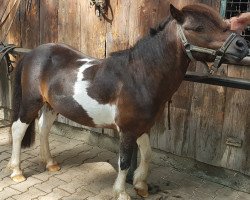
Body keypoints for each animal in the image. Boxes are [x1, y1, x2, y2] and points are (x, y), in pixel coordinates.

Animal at [7, 3, 248, 200]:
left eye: (223, 23)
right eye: (197, 28)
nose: (242, 45)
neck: (139, 76)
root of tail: (33, 54)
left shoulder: (143, 127)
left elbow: (148, 154)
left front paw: (141, 186)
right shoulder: (127, 130)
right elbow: (123, 162)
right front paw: (122, 193)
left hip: (51, 106)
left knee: (44, 129)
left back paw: (50, 163)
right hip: (30, 103)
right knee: (18, 129)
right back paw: (17, 171)